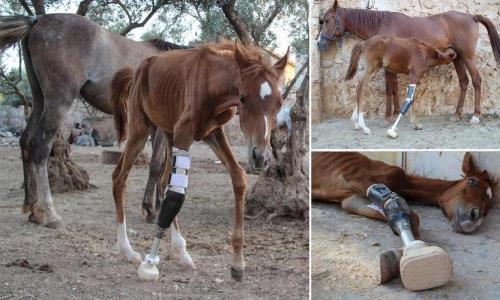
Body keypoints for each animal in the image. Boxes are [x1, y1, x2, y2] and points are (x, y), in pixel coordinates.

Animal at [0, 13, 189, 227]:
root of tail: (38, 19)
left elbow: (165, 166)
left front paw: (155, 208)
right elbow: (157, 165)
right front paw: (151, 210)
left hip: (39, 99)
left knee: (25, 141)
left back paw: (32, 207)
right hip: (59, 100)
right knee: (40, 147)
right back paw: (48, 214)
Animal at [110, 40, 290, 282]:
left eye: (279, 103)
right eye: (243, 98)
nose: (260, 156)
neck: (213, 83)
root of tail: (139, 69)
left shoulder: (212, 133)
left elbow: (239, 177)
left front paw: (238, 263)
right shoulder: (185, 132)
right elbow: (177, 194)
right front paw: (149, 263)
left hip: (168, 133)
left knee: (163, 181)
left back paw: (181, 251)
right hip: (141, 128)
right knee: (120, 177)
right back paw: (128, 250)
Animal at [312, 152, 492, 234]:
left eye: (487, 207)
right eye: (471, 181)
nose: (475, 216)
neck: (405, 183)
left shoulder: (351, 200)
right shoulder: (356, 179)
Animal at [318, 0, 500, 123]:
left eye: (326, 20)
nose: (319, 43)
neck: (381, 24)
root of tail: (471, 16)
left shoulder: (388, 67)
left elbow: (389, 89)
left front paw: (388, 116)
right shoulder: (391, 67)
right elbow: (394, 88)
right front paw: (396, 112)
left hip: (468, 57)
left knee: (476, 80)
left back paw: (475, 116)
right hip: (457, 58)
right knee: (464, 82)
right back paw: (457, 114)